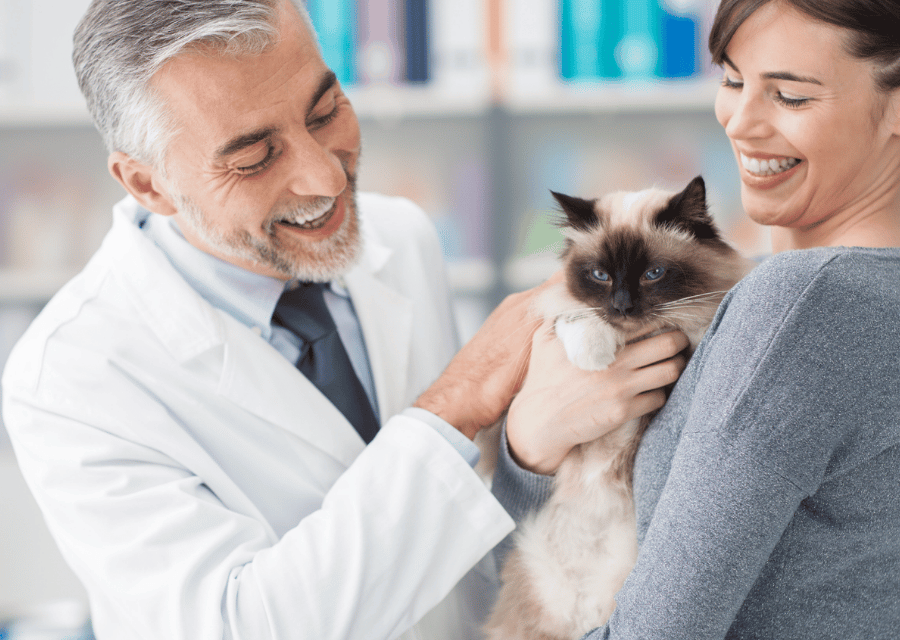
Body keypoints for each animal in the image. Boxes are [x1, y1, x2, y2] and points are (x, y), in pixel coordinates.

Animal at [486, 175, 752, 640]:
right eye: (600, 275)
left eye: (653, 274)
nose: (622, 306)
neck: (636, 336)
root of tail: (581, 610)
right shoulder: (559, 311)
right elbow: (575, 316)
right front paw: (595, 356)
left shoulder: (692, 331)